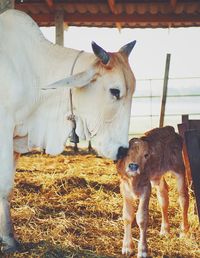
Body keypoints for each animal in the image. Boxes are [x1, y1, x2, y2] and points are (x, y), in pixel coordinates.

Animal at [116, 126, 188, 256]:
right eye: (127, 153)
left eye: (146, 155)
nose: (133, 166)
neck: (134, 180)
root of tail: (169, 129)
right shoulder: (125, 189)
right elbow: (127, 216)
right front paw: (127, 247)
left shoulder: (146, 188)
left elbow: (142, 218)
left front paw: (143, 250)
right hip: (158, 178)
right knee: (163, 198)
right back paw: (165, 230)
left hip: (179, 169)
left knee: (183, 198)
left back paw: (184, 231)